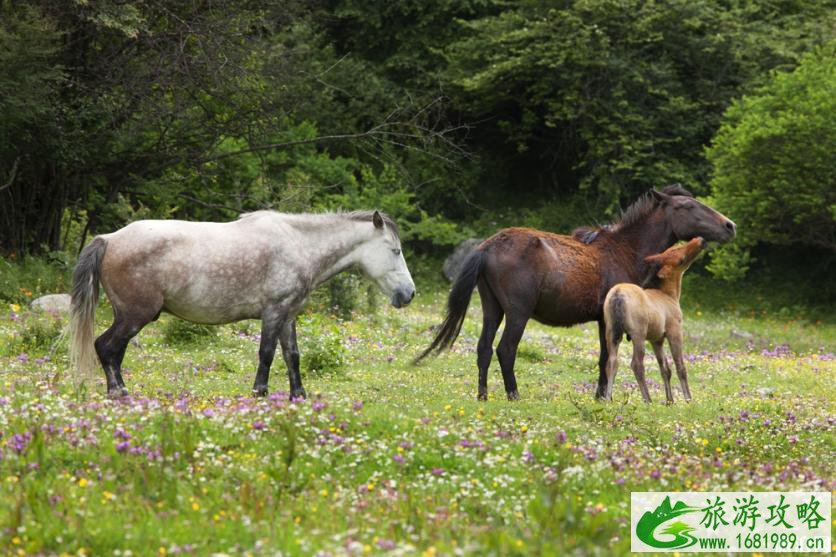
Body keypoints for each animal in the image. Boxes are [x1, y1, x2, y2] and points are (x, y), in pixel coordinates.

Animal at [70, 208, 416, 396]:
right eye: (395, 251)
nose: (409, 293)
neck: (298, 244)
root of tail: (109, 239)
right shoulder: (273, 312)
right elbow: (266, 355)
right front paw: (260, 393)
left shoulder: (288, 315)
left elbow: (292, 356)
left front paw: (298, 397)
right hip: (134, 316)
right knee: (106, 348)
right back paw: (120, 393)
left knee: (112, 352)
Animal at [600, 237, 704, 402]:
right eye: (680, 259)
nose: (700, 240)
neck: (670, 295)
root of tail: (617, 294)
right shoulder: (674, 332)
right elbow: (680, 367)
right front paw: (688, 399)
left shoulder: (657, 339)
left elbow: (665, 369)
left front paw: (670, 400)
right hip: (638, 334)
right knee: (636, 364)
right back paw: (647, 399)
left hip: (612, 333)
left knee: (612, 362)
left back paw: (609, 398)